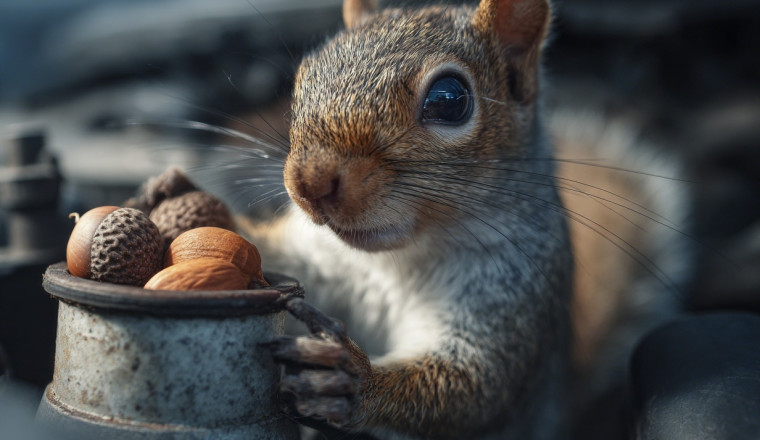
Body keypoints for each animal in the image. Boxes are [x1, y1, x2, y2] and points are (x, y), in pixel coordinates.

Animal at [237, 0, 690, 438]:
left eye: (448, 100)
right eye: (305, 75)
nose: (308, 183)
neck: (395, 259)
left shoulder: (511, 297)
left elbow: (472, 386)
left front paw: (353, 382)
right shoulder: (322, 259)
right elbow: (282, 260)